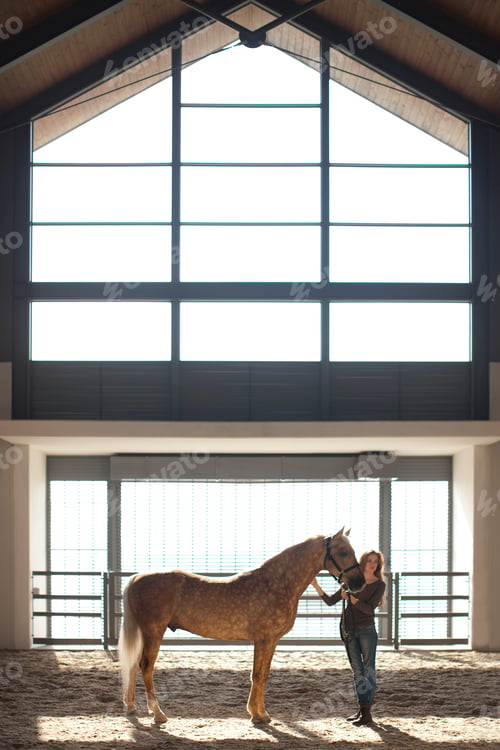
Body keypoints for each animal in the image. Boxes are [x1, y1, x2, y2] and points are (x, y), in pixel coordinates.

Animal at [118, 527, 365, 724]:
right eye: (343, 552)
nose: (359, 583)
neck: (277, 583)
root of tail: (137, 578)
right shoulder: (263, 639)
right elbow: (257, 675)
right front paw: (258, 716)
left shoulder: (271, 641)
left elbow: (262, 675)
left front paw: (259, 713)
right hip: (154, 632)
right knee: (146, 667)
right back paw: (158, 714)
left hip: (145, 633)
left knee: (133, 666)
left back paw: (131, 708)